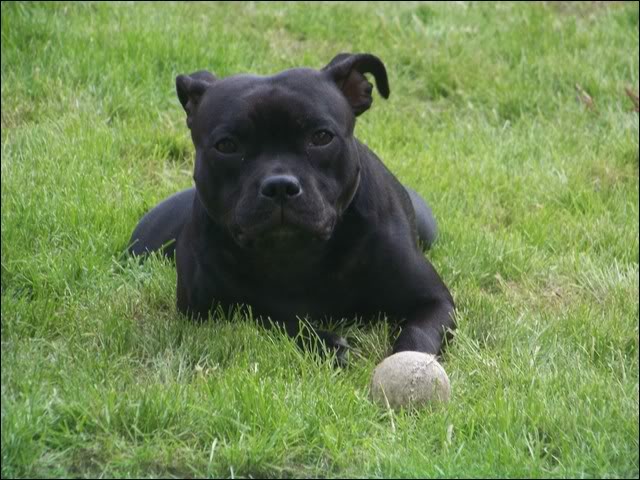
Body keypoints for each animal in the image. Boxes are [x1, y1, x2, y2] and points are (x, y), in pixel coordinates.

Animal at [127, 53, 452, 360]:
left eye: (321, 137)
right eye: (226, 145)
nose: (280, 186)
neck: (293, 253)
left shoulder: (434, 301)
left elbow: (418, 336)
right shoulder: (206, 314)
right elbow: (266, 318)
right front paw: (325, 342)